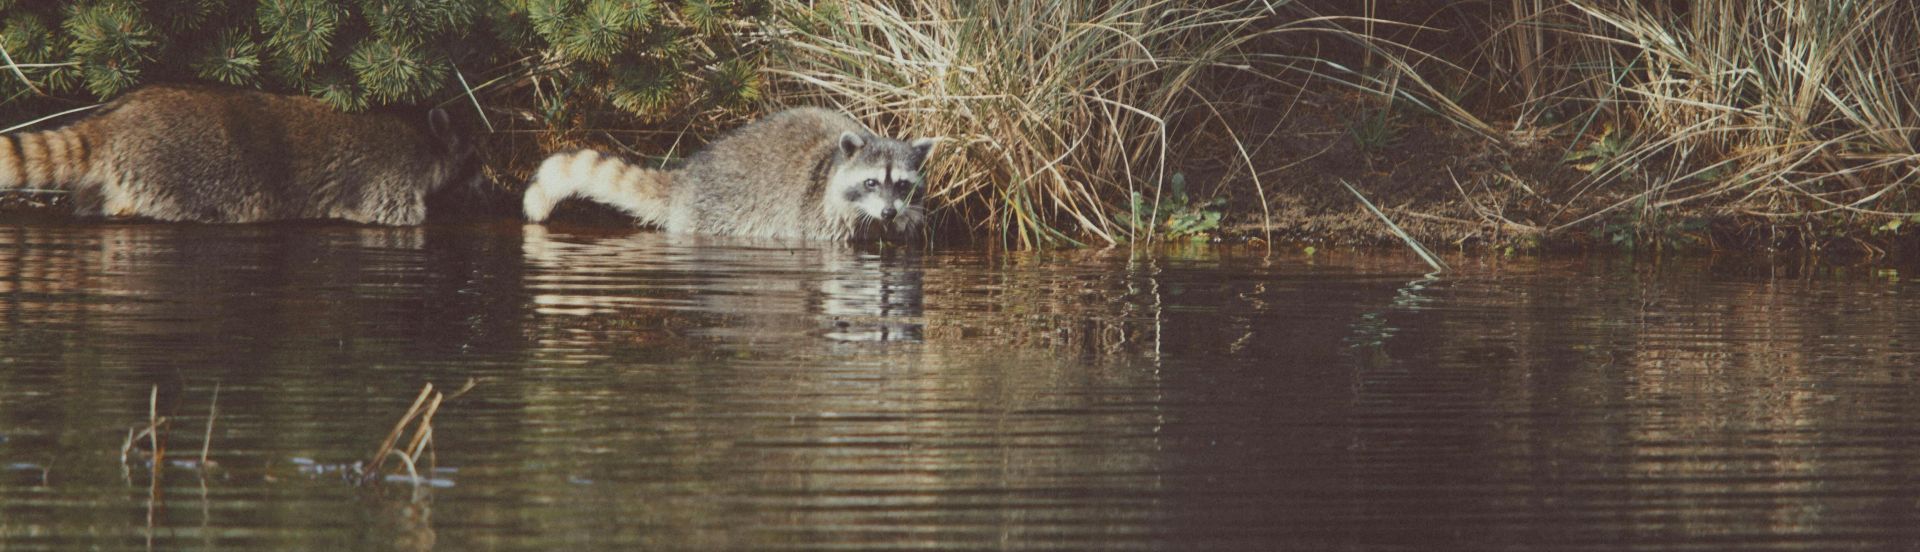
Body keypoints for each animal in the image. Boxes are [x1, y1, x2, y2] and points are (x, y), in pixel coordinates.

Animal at [0, 84, 479, 224]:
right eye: (474, 153)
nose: (483, 179)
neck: (421, 133)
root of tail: (118, 117)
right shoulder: (389, 176)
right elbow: (394, 216)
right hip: (173, 175)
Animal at [522, 107, 936, 241]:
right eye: (870, 182)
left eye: (902, 184)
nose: (888, 212)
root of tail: (690, 175)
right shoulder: (814, 215)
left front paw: (902, 222)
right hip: (714, 212)